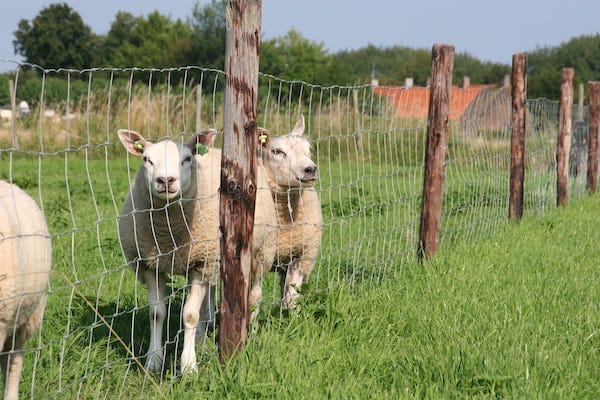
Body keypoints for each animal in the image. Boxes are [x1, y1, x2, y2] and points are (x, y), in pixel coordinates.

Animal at [117, 130, 276, 374]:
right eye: (146, 159)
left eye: (186, 159)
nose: (165, 180)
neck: (168, 235)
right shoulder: (151, 264)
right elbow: (157, 313)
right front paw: (154, 360)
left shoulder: (201, 264)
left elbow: (190, 315)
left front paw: (189, 366)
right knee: (208, 295)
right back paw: (203, 334)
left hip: (260, 252)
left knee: (255, 296)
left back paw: (252, 331)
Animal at [255, 115, 326, 312]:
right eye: (276, 151)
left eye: (309, 150)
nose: (310, 169)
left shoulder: (302, 257)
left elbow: (293, 297)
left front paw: (293, 319)